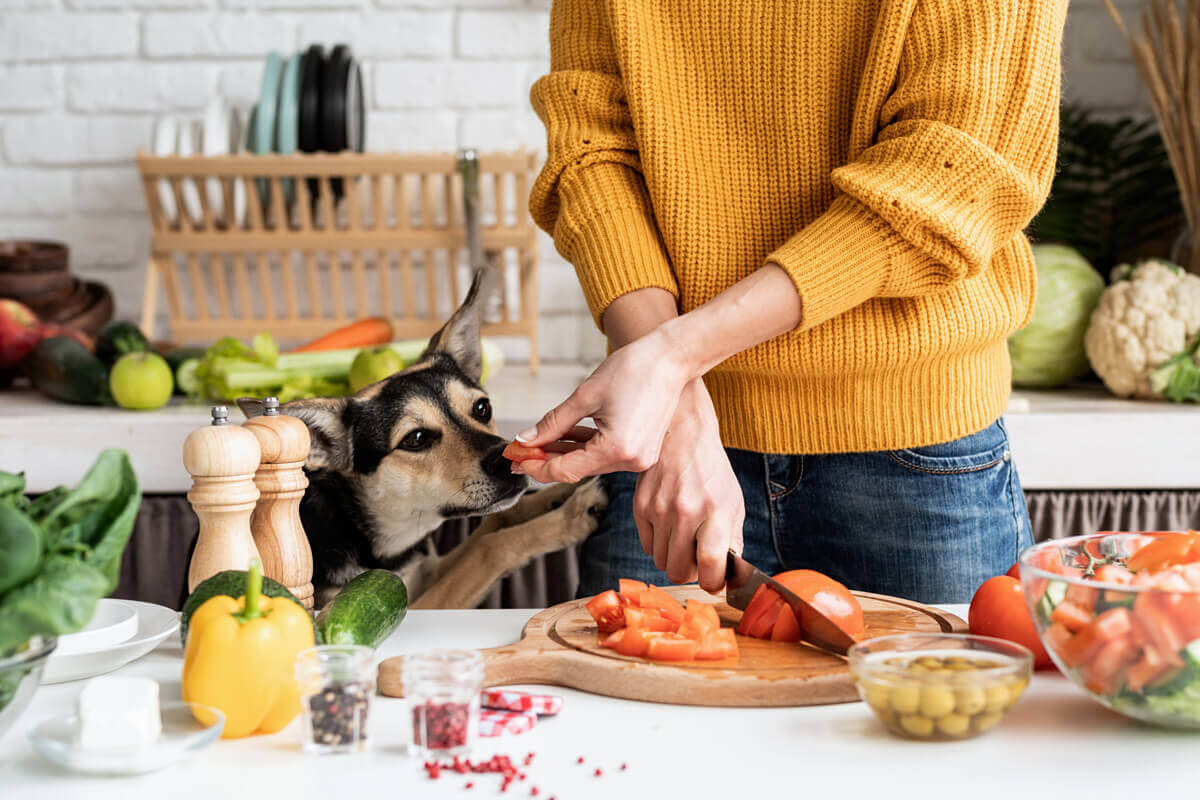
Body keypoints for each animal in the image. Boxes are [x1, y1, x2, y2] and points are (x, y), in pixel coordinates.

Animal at [236, 272, 609, 609]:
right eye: (415, 439)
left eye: (482, 407)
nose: (507, 460)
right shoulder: (407, 605)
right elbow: (490, 548)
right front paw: (570, 517)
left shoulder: (427, 570)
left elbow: (496, 522)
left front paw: (560, 493)